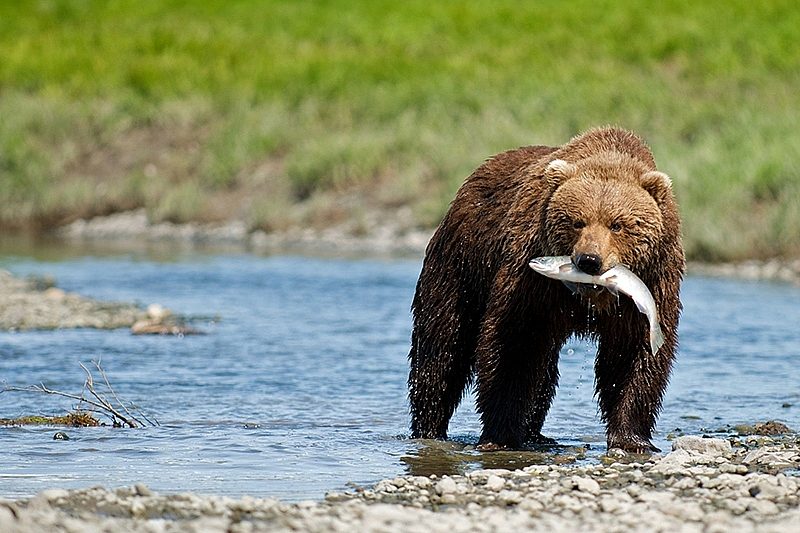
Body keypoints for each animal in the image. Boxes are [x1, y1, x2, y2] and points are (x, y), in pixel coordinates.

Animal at [410, 125, 684, 454]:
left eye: (617, 224)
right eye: (577, 221)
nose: (589, 260)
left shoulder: (653, 283)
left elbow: (633, 355)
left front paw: (632, 438)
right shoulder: (530, 279)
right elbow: (513, 344)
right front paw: (501, 434)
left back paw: (535, 433)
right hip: (461, 265)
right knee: (442, 348)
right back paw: (428, 426)